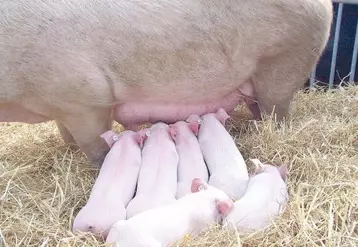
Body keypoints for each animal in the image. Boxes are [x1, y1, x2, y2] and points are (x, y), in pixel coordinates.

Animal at [0, 0, 332, 167]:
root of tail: (326, 5)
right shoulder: (62, 105)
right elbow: (67, 137)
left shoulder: (85, 99)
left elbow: (95, 148)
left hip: (283, 63)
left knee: (278, 113)